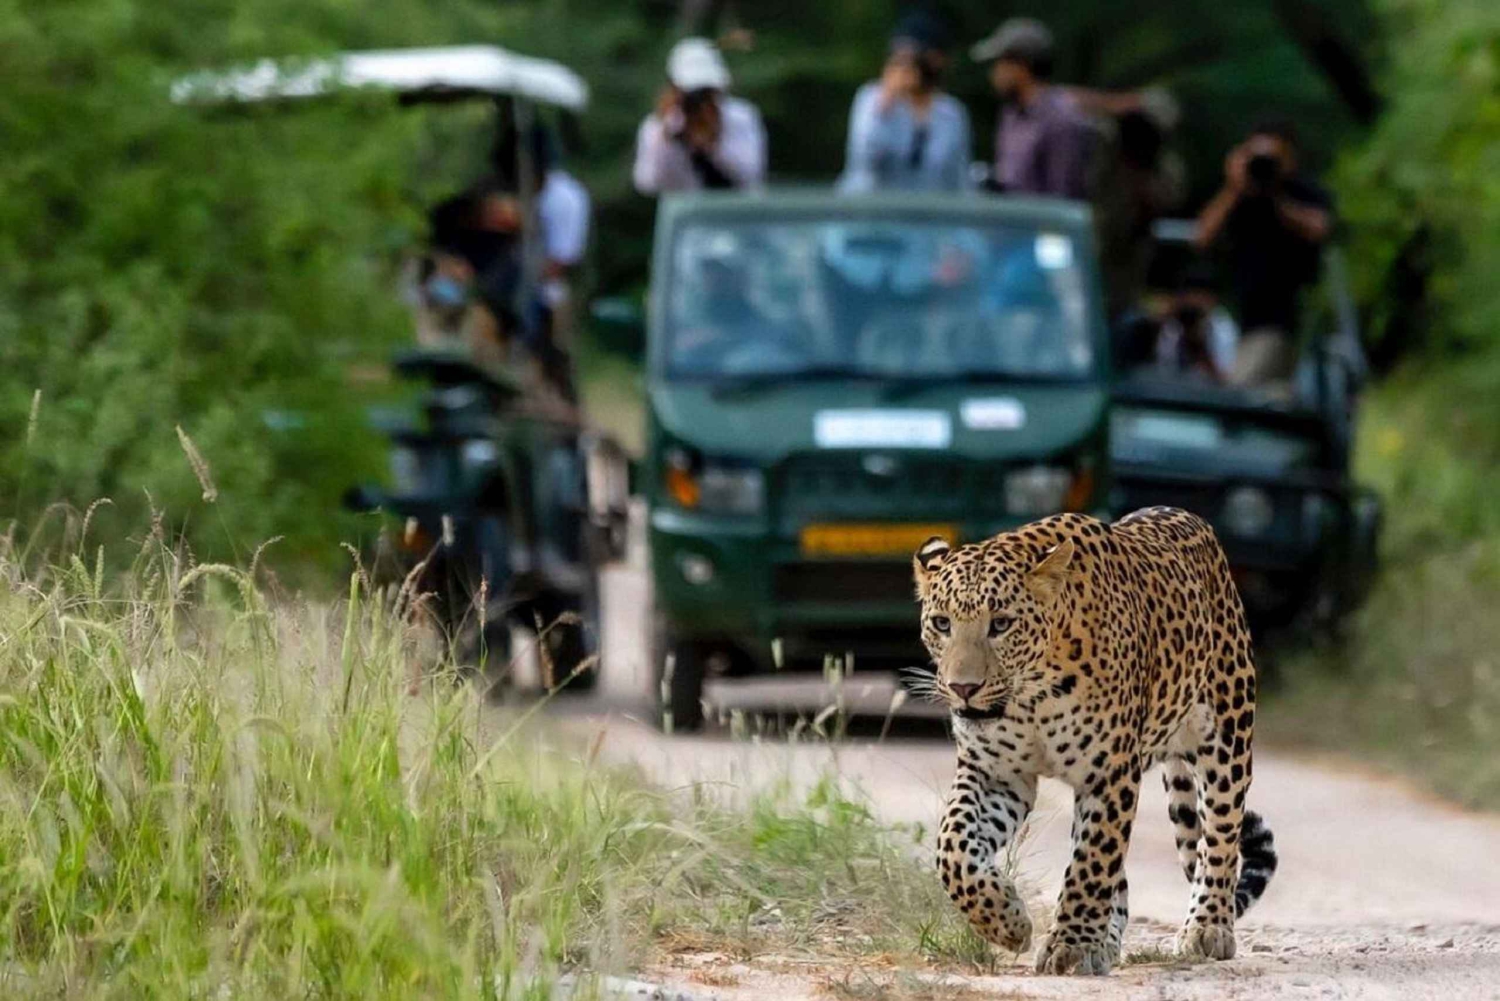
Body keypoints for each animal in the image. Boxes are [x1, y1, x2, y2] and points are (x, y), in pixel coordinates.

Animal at [911, 507, 1277, 976]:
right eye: (942, 624)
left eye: (1001, 624)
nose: (963, 688)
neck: (1033, 695)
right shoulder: (996, 774)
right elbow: (953, 847)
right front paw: (1005, 921)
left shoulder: (1109, 774)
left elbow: (1091, 863)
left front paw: (1069, 946)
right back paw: (1106, 943)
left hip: (1227, 736)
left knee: (1219, 836)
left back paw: (1208, 927)